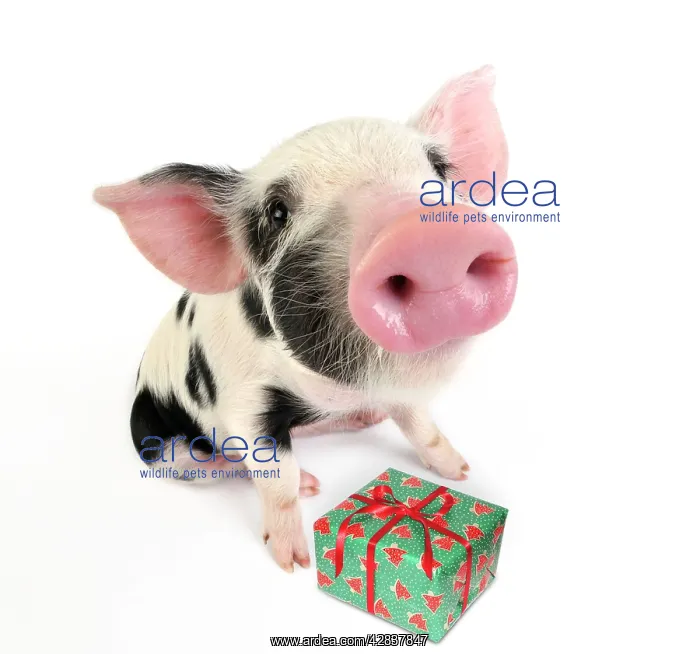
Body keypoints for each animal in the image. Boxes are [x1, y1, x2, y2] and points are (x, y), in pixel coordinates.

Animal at [94, 65, 517, 572]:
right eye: (277, 213)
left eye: (438, 172)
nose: (427, 236)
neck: (333, 389)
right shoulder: (244, 404)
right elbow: (277, 480)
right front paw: (293, 561)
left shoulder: (396, 388)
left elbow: (422, 427)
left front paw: (462, 471)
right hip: (166, 448)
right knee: (218, 464)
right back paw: (309, 481)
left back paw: (365, 419)